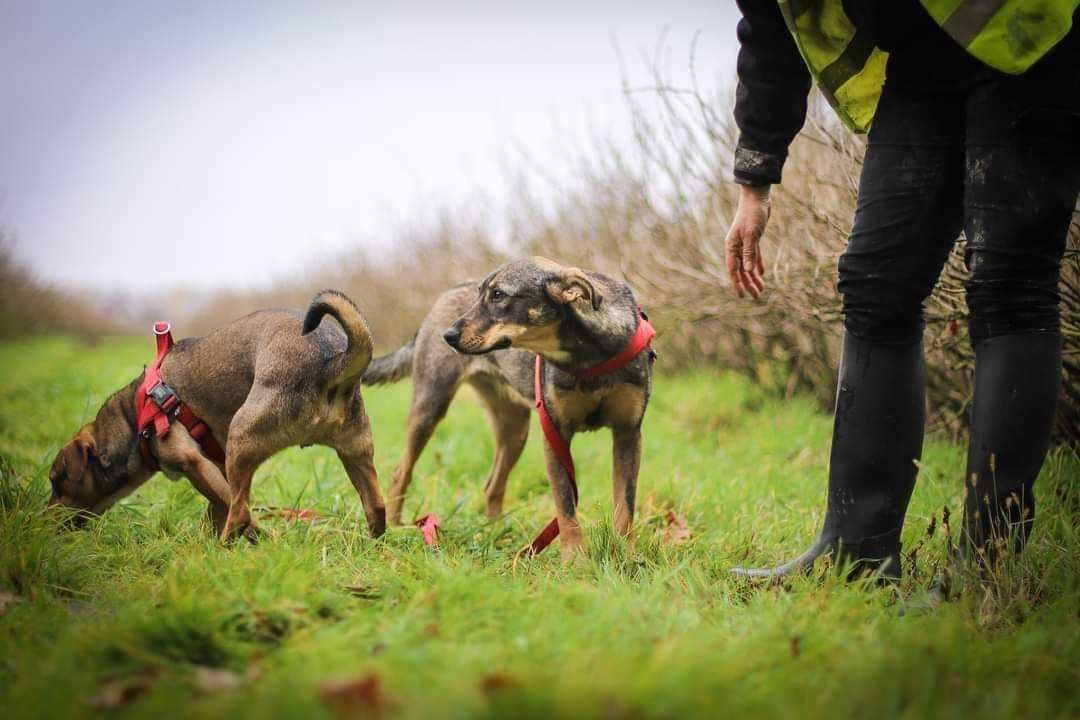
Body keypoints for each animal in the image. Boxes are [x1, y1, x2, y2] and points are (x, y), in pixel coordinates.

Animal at [51, 289, 388, 537]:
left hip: (242, 438)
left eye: (57, 481)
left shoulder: (194, 463)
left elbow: (232, 509)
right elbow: (218, 507)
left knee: (239, 514)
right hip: (355, 453)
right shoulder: (215, 465)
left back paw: (228, 546)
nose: (43, 518)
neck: (132, 418)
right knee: (377, 509)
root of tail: (331, 361)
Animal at [362, 255, 652, 561]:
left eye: (499, 295)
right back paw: (396, 528)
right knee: (401, 472)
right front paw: (575, 559)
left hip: (515, 429)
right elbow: (566, 508)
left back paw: (496, 534)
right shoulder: (556, 434)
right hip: (429, 408)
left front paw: (626, 555)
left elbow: (625, 505)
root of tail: (442, 298)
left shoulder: (627, 433)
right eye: (481, 294)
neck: (588, 356)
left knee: (492, 486)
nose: (447, 335)